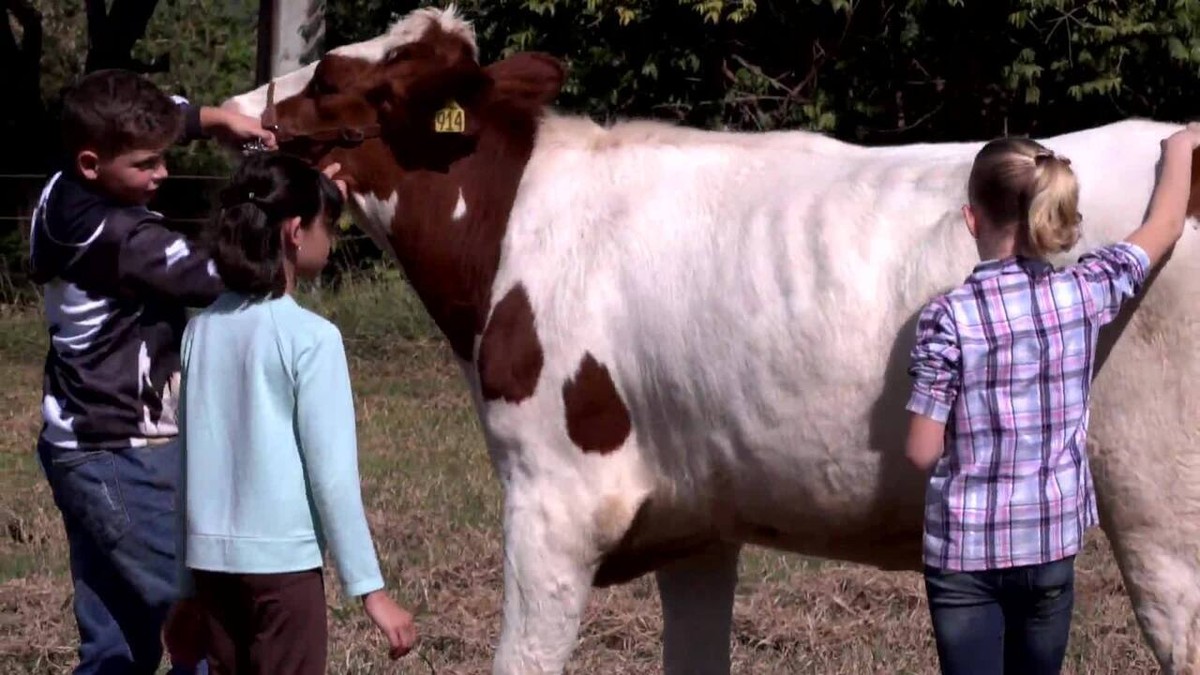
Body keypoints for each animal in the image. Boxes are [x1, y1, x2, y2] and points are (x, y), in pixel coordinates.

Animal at [218, 5, 1200, 672]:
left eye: (332, 77)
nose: (235, 110)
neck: (511, 230)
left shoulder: (554, 496)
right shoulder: (696, 520)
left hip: (1161, 499)